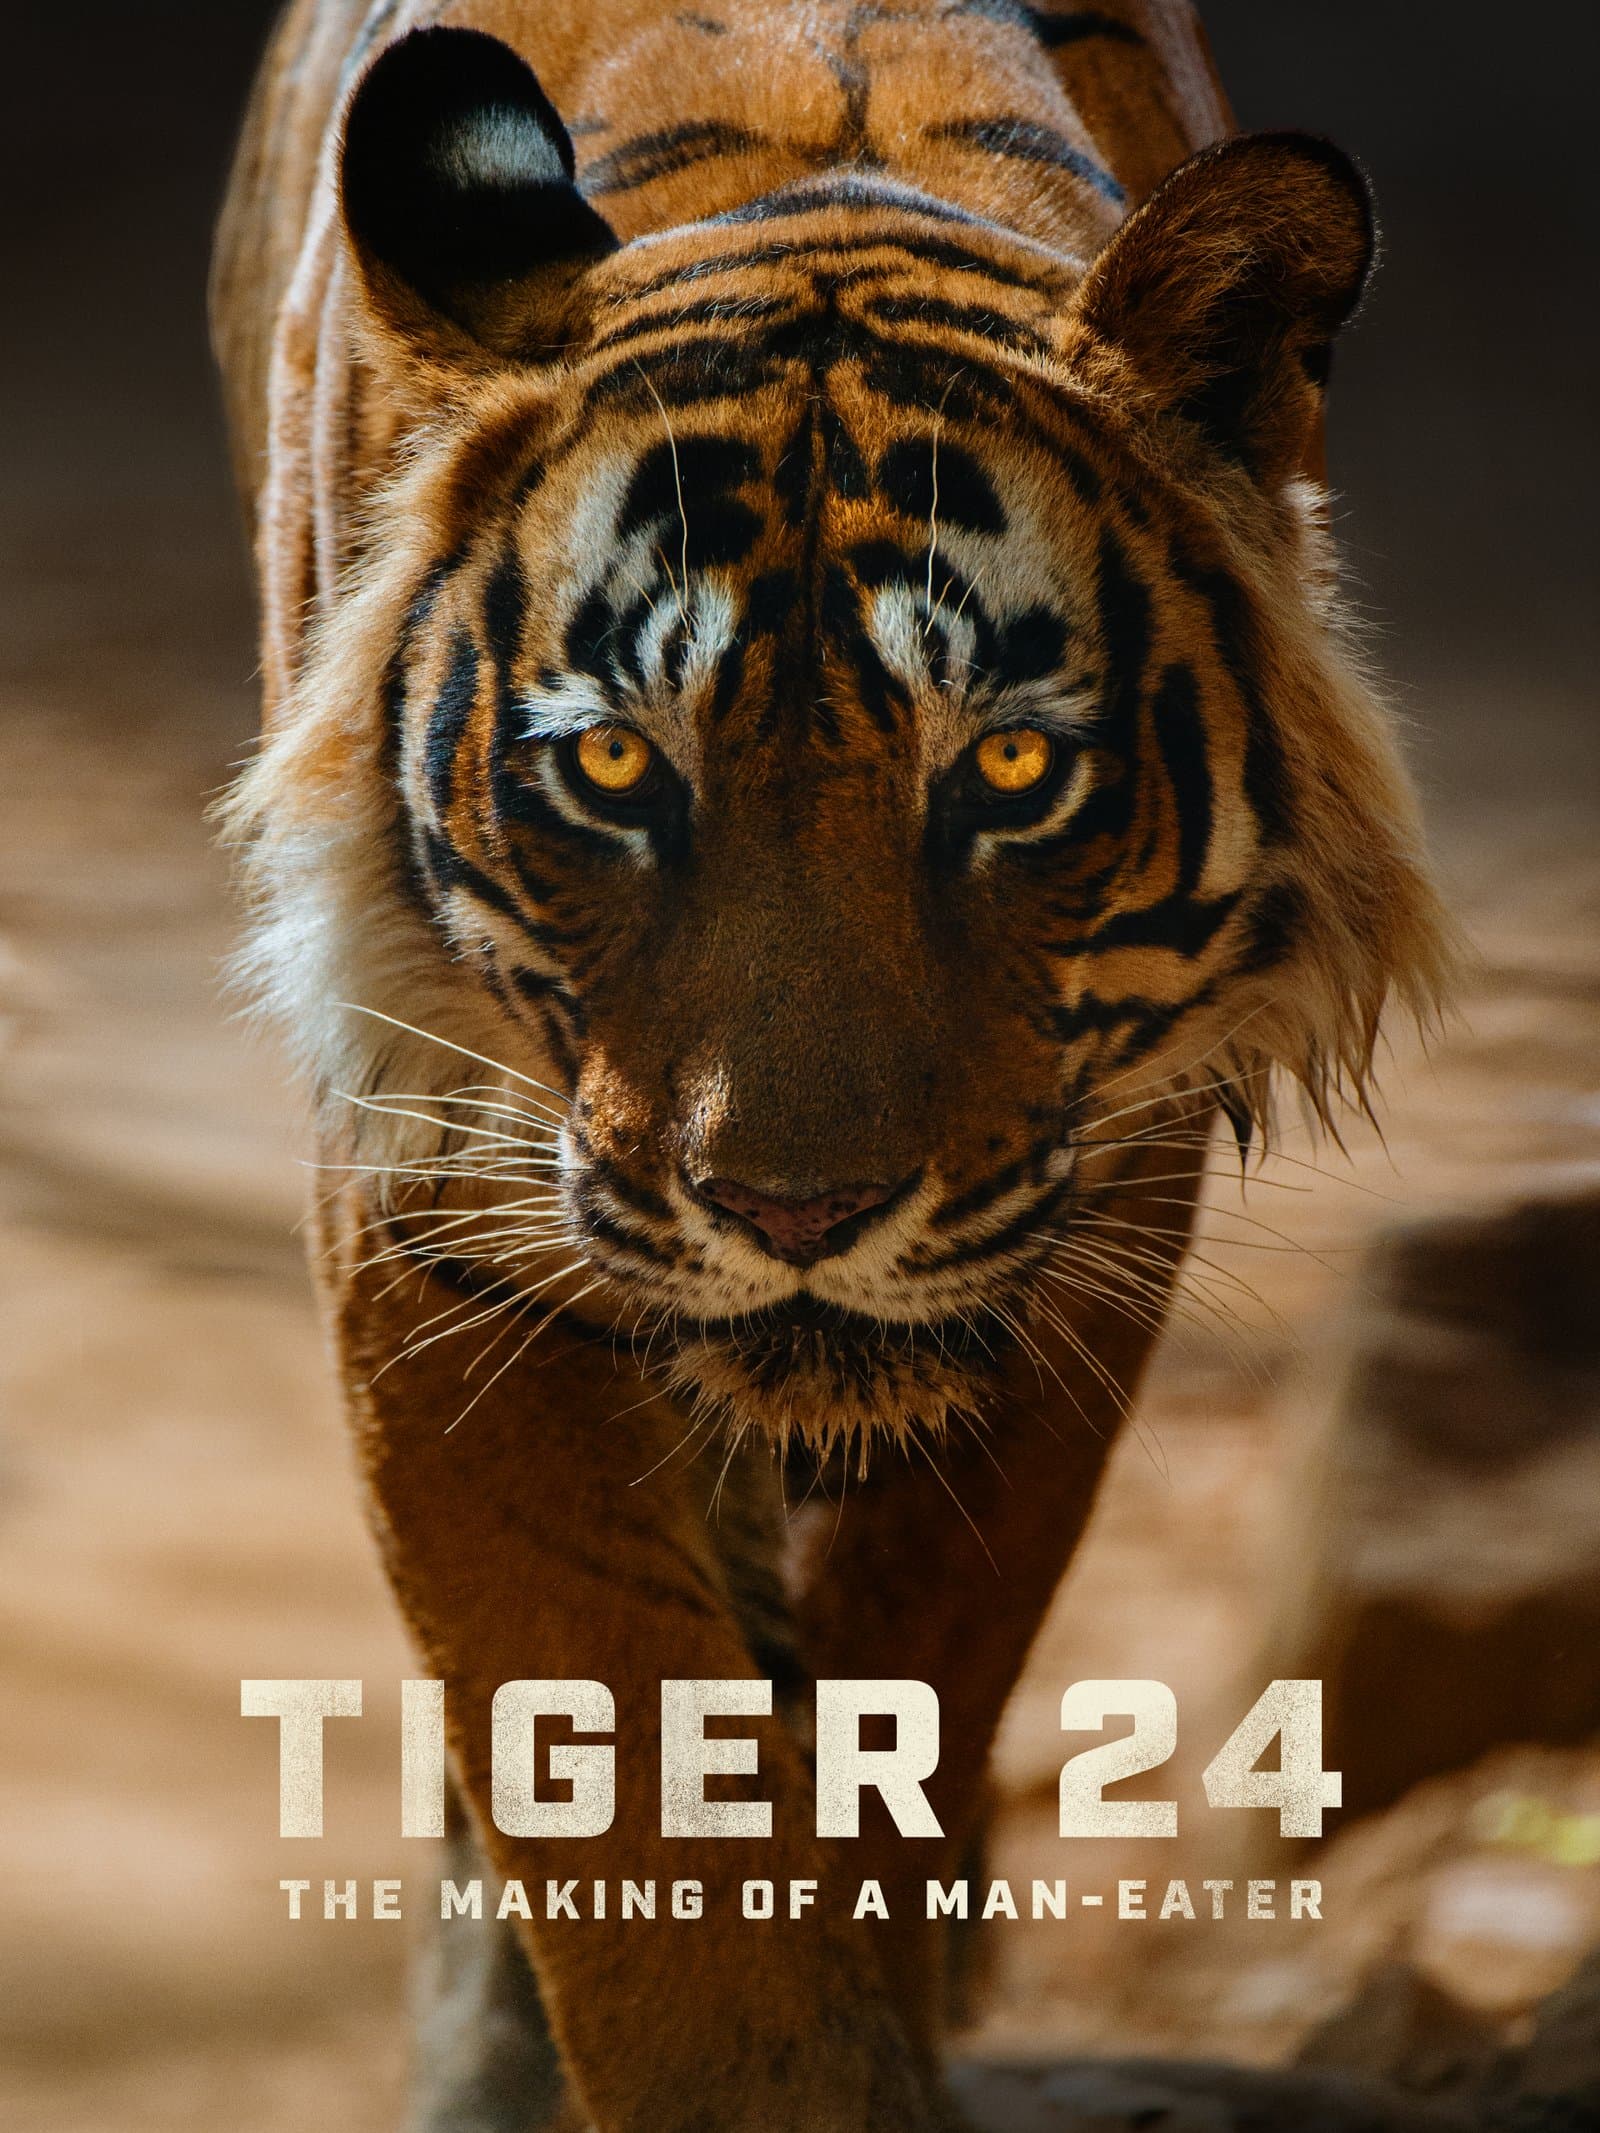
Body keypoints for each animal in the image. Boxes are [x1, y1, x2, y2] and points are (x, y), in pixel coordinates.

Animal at [213, 3, 1450, 2128]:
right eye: (614, 763)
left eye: (1012, 768)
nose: (793, 1210)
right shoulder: (437, 1212)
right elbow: (624, 1781)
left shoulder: (1088, 1232)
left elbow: (901, 1713)